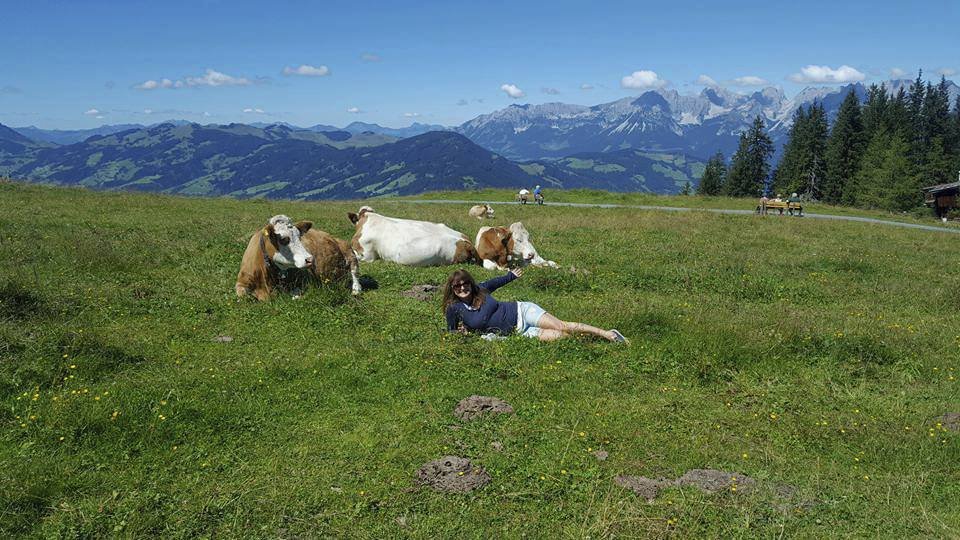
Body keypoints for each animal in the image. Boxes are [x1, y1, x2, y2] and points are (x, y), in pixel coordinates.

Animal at [234, 214, 362, 300]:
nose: (310, 259)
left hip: (350, 252)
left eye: (299, 236)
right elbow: (242, 295)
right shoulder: (241, 283)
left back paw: (356, 289)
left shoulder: (306, 282)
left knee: (354, 272)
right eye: (283, 239)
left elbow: (294, 296)